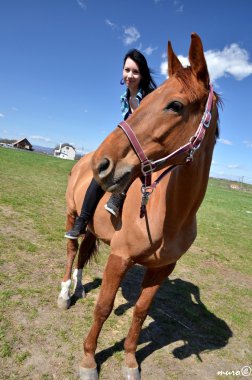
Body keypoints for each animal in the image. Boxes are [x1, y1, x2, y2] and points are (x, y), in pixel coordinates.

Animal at [58, 33, 220, 380]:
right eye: (141, 104)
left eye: (175, 105)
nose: (100, 163)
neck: (168, 216)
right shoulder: (120, 258)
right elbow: (103, 308)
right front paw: (89, 359)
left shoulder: (162, 269)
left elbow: (141, 313)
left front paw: (131, 360)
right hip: (73, 215)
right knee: (72, 248)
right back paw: (65, 292)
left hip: (95, 228)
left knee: (84, 250)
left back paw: (78, 286)